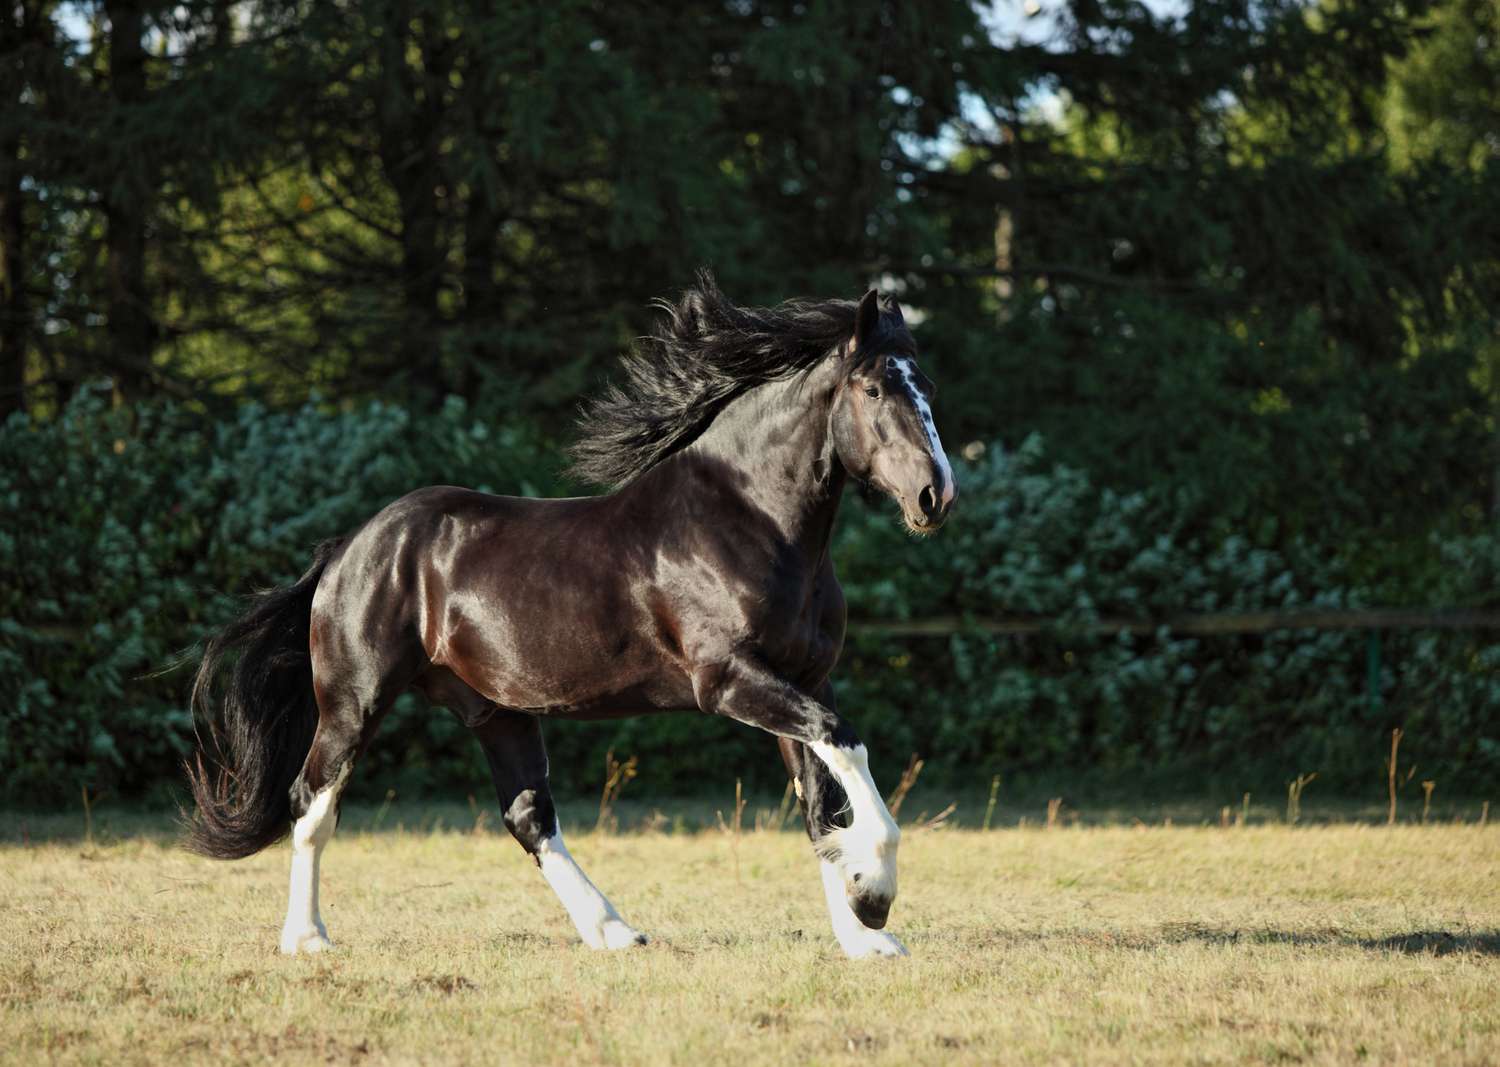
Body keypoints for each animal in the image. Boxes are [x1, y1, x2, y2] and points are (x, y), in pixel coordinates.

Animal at [187, 276, 954, 960]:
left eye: (927, 386)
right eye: (874, 388)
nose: (934, 495)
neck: (751, 519)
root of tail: (348, 547)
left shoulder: (805, 678)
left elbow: (823, 805)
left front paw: (864, 934)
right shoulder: (731, 681)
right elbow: (847, 750)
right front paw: (875, 895)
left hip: (496, 710)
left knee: (528, 816)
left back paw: (614, 931)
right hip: (354, 702)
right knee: (312, 801)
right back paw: (306, 938)